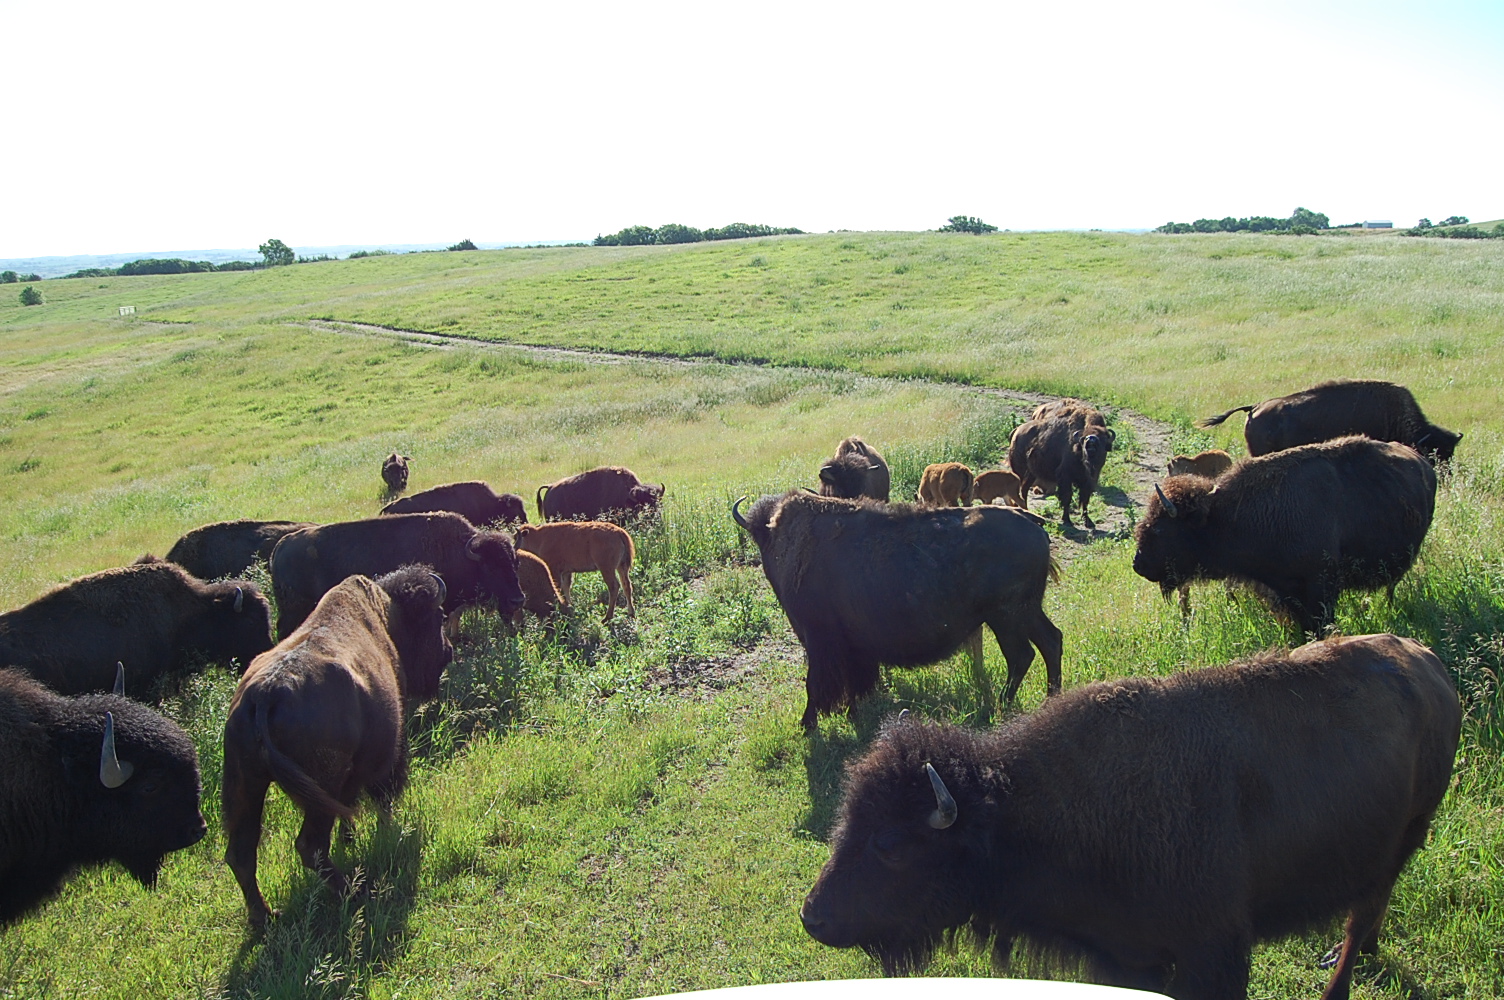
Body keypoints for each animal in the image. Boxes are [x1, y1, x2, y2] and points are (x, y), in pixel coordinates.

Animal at [223, 566, 451, 927]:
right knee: (310, 845)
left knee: (241, 853)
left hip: (246, 784)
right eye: (438, 617)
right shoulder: (388, 753)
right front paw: (387, 833)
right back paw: (354, 893)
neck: (387, 613)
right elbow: (382, 796)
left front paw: (351, 838)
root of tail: (266, 694)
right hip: (319, 784)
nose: (449, 652)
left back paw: (265, 917)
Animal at [269, 512, 524, 636]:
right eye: (491, 567)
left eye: (514, 562)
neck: (461, 553)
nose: (518, 599)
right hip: (293, 610)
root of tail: (280, 548)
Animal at [733, 492, 1062, 728]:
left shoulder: (820, 641)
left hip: (1005, 618)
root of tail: (1031, 522)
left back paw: (1002, 705)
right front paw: (854, 713)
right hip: (1027, 612)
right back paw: (1050, 698)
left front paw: (807, 724)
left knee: (1022, 655)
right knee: (1050, 642)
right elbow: (857, 681)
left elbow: (816, 684)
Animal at [800, 633, 1460, 1000]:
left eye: (890, 845)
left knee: (1363, 912)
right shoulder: (1128, 960)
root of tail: (1431, 666)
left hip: (1405, 837)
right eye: (847, 821)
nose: (813, 917)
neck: (1012, 815)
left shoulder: (1214, 954)